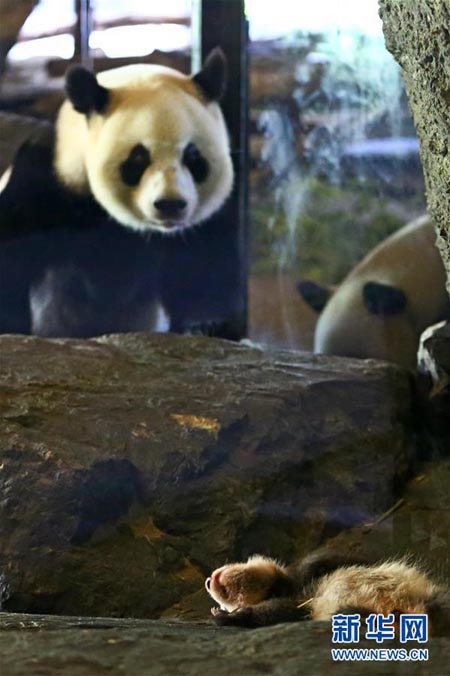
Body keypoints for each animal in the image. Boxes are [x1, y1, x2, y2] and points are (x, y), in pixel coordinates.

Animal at [0, 48, 238, 338]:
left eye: (192, 157)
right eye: (138, 159)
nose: (170, 204)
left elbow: (206, 261)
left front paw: (207, 325)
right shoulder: (44, 178)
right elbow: (12, 252)